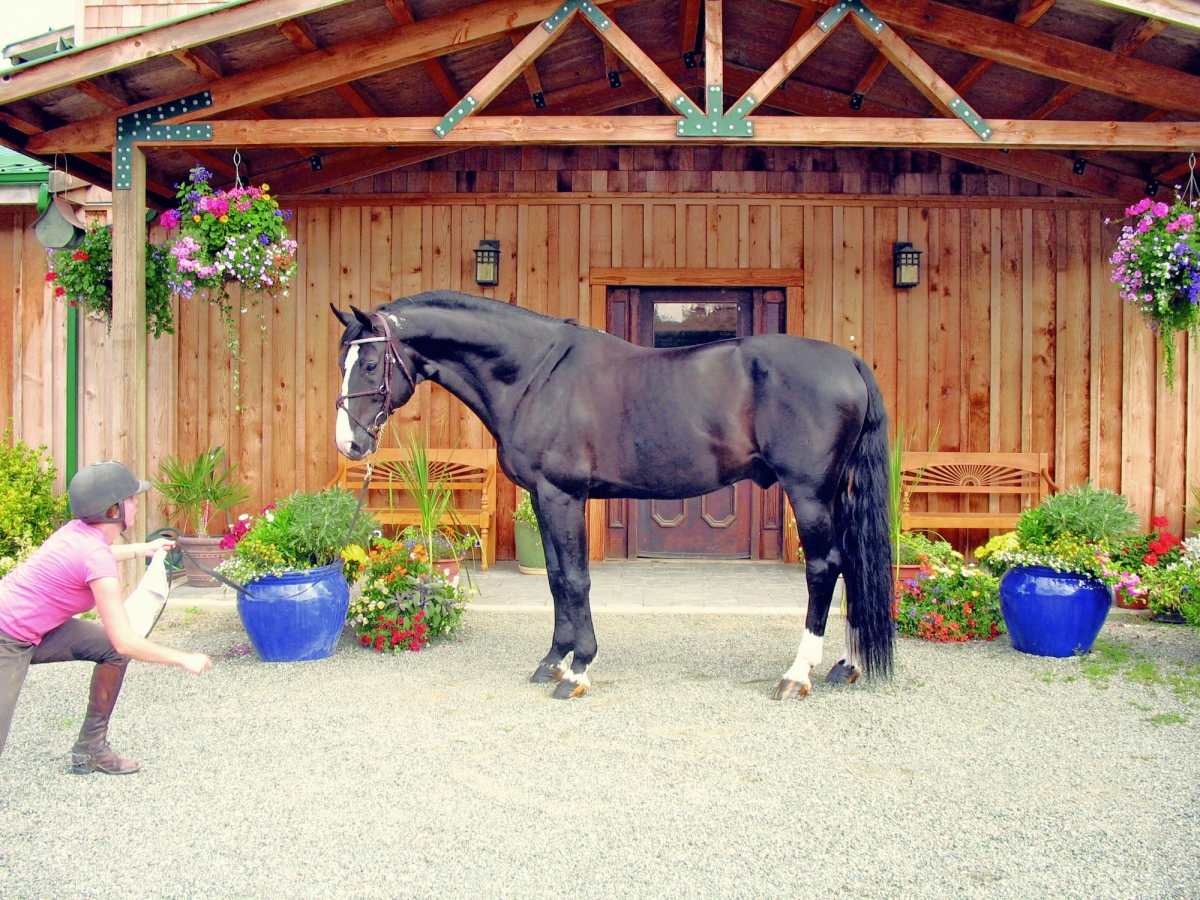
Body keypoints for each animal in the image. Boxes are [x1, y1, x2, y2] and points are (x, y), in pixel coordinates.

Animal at [332, 291, 893, 700]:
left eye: (370, 364)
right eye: (343, 360)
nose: (349, 443)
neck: (535, 375)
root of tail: (848, 361)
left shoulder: (564, 496)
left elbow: (576, 580)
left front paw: (579, 669)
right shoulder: (544, 498)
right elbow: (556, 579)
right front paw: (552, 663)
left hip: (810, 492)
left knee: (824, 568)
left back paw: (797, 674)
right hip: (835, 493)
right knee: (852, 563)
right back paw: (848, 664)